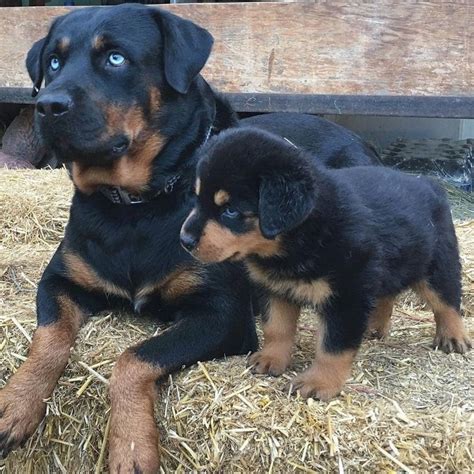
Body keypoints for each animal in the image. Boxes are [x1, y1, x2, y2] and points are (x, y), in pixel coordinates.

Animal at [0, 2, 378, 470]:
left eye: (115, 58)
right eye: (53, 62)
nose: (48, 105)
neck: (134, 206)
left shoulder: (222, 316)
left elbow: (134, 358)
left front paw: (130, 446)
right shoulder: (60, 279)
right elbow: (47, 339)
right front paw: (16, 402)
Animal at [181, 129, 470, 400]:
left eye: (230, 211)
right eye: (196, 199)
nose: (184, 240)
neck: (301, 237)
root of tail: (429, 184)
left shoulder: (347, 296)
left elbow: (332, 347)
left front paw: (319, 383)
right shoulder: (275, 289)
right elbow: (276, 329)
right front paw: (271, 358)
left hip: (437, 265)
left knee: (447, 302)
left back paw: (454, 337)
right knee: (387, 293)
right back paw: (374, 326)